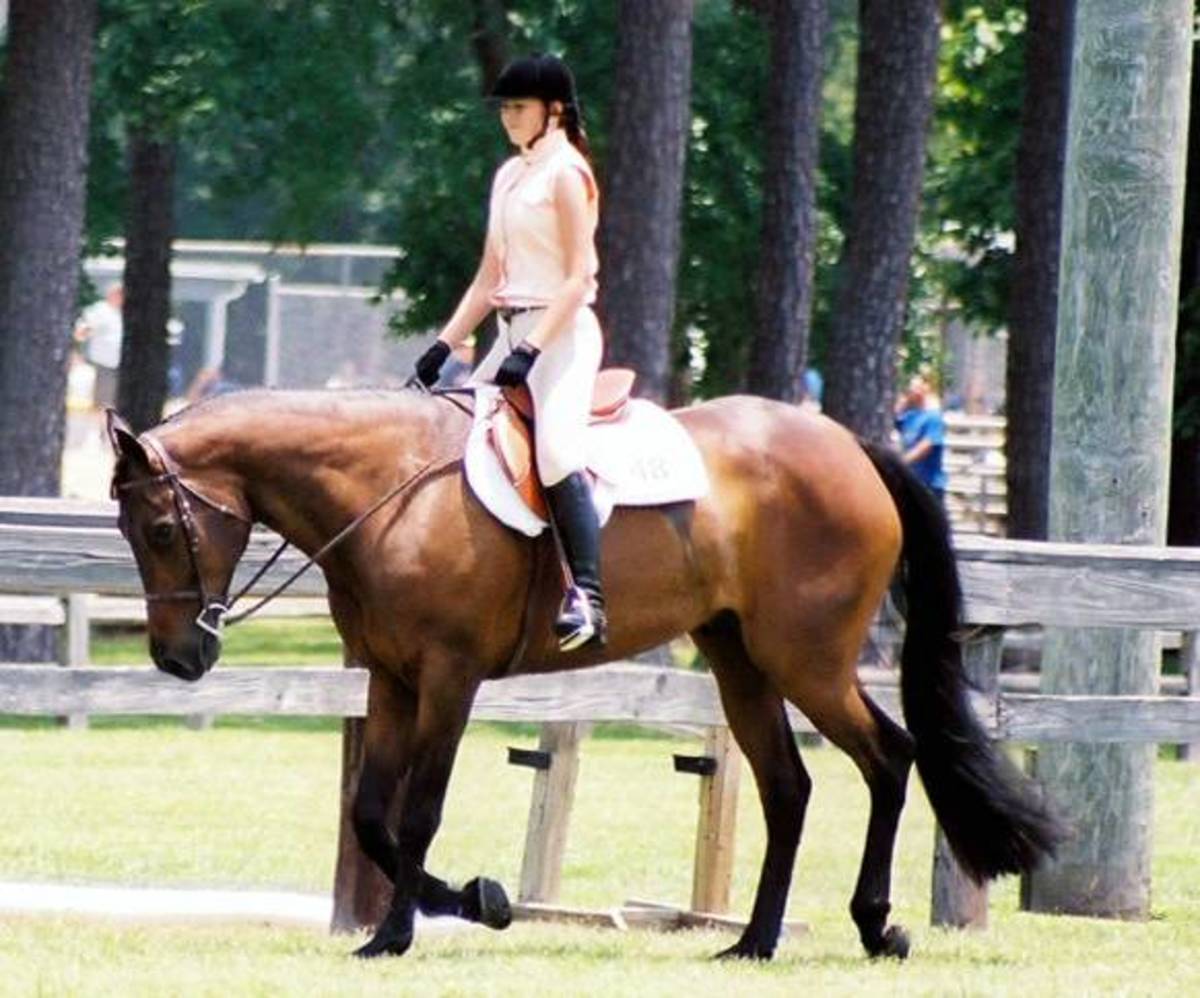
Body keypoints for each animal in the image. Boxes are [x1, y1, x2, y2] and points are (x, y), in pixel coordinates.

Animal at [106, 387, 1061, 961]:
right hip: (739, 658)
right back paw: (752, 941)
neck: (393, 490)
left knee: (889, 758)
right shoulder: (391, 680)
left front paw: (416, 926)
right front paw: (459, 906)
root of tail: (850, 446)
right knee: (788, 786)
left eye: (160, 529)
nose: (176, 657)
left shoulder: (448, 678)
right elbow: (372, 815)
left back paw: (873, 925)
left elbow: (417, 813)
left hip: (808, 660)